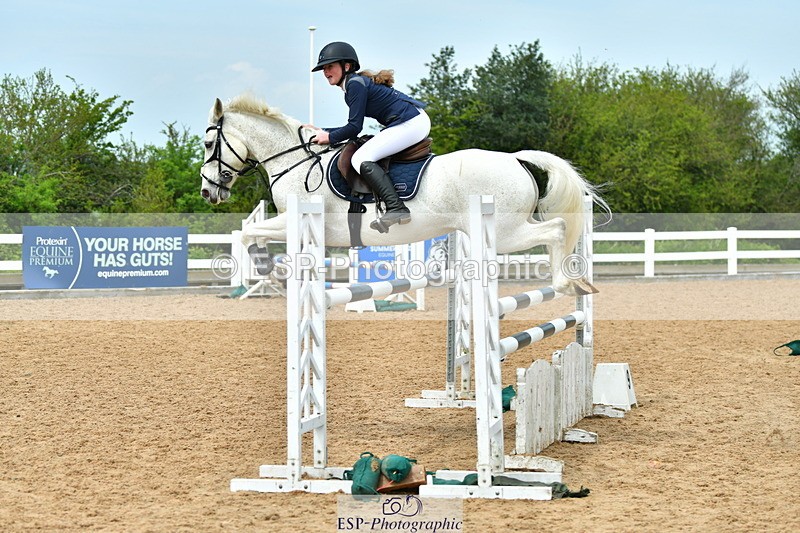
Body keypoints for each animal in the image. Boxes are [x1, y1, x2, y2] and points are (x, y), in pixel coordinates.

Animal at [200, 95, 608, 295]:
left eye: (207, 143)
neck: (299, 162)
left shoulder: (295, 220)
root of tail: (514, 159)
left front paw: (269, 271)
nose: (207, 191)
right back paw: (576, 283)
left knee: (555, 230)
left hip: (506, 231)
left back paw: (563, 283)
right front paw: (272, 272)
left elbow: (249, 233)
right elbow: (252, 234)